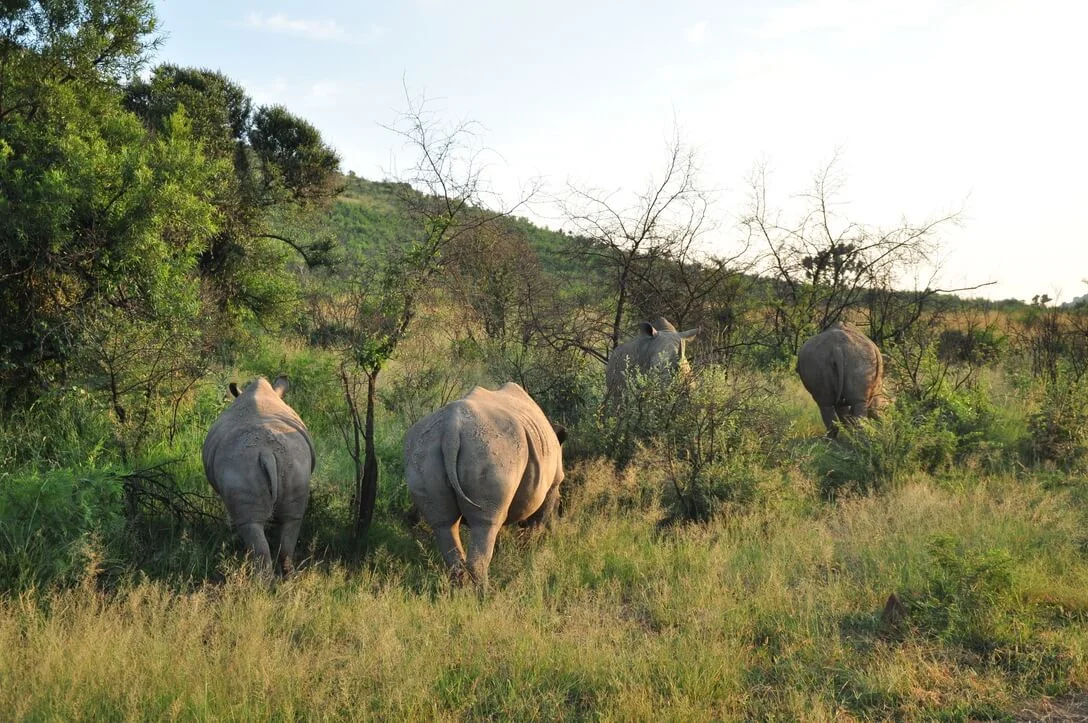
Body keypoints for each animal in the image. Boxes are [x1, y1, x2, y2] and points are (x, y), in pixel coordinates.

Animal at [202, 375, 315, 576]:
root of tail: (267, 452)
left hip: (240, 466)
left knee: (251, 525)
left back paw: (259, 581)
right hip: (295, 461)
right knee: (292, 520)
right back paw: (288, 578)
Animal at [404, 382, 567, 591]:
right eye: (560, 507)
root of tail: (451, 429)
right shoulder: (553, 484)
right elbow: (538, 523)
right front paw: (532, 554)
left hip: (423, 451)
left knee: (443, 524)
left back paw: (459, 592)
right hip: (491, 451)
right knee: (486, 523)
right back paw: (486, 594)